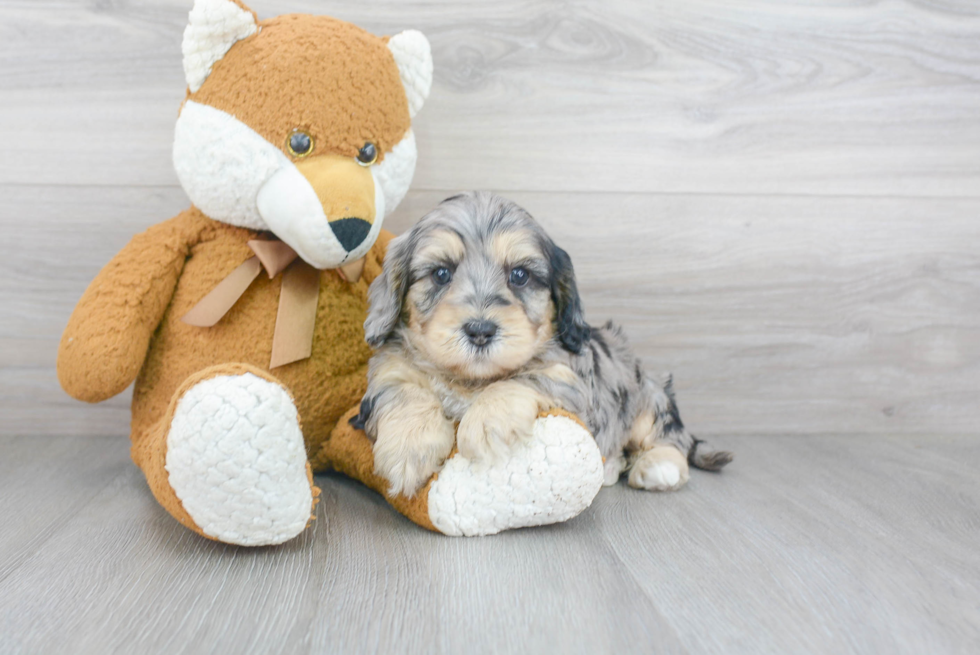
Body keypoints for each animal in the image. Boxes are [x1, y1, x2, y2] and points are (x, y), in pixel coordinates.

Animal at [356, 191, 732, 498]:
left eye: (520, 275)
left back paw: (659, 467)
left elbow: (523, 377)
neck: (470, 380)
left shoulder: (569, 378)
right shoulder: (389, 372)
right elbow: (407, 392)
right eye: (441, 274)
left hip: (648, 399)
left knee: (668, 438)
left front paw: (486, 423)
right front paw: (408, 447)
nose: (480, 330)